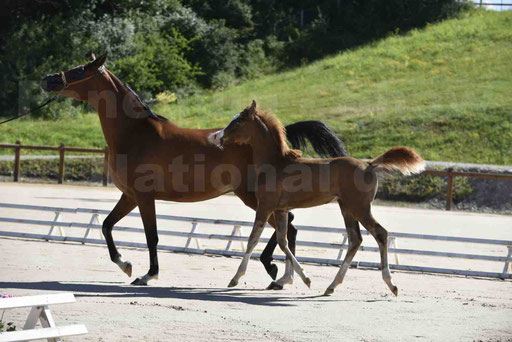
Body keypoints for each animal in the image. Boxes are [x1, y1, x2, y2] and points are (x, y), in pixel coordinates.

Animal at [40, 52, 344, 284]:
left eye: (80, 69)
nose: (48, 79)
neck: (136, 134)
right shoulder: (129, 196)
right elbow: (105, 225)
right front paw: (124, 264)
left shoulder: (144, 197)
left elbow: (151, 236)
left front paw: (148, 275)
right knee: (288, 227)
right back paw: (281, 277)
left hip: (253, 196)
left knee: (288, 225)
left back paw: (275, 270)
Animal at [210, 100, 426, 296]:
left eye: (238, 121)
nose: (216, 137)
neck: (275, 164)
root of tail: (370, 164)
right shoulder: (280, 209)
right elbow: (283, 241)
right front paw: (303, 278)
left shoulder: (265, 206)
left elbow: (253, 240)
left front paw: (236, 278)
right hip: (346, 208)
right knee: (355, 240)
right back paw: (331, 286)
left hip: (360, 208)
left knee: (380, 234)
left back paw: (391, 284)